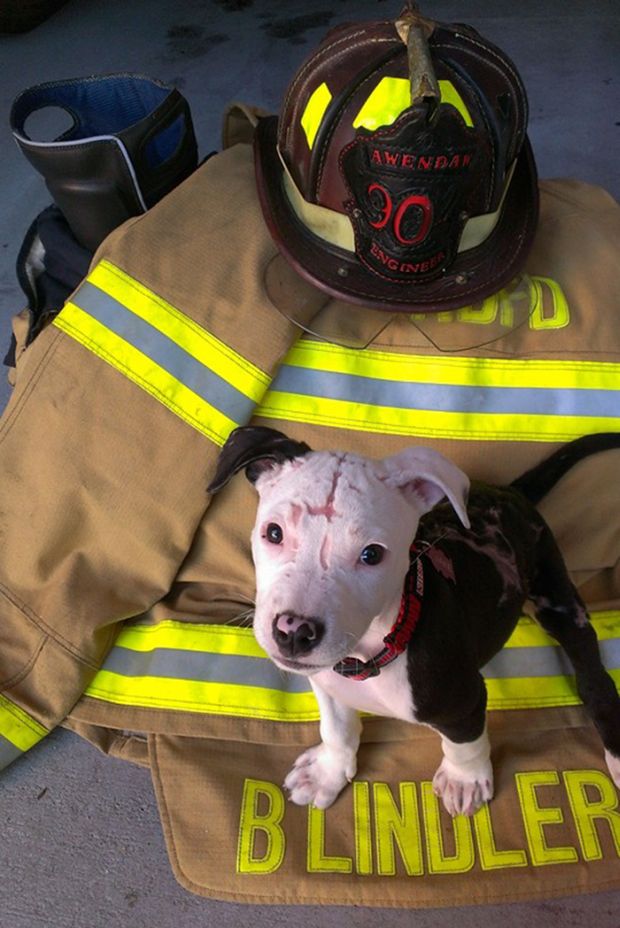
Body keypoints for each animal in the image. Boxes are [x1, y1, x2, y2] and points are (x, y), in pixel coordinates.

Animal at [209, 432, 620, 816]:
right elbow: (337, 729)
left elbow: (464, 743)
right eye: (274, 533)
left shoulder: (464, 700)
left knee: (593, 678)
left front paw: (465, 779)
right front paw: (328, 771)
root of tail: (511, 492)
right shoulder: (326, 683)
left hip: (557, 595)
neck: (373, 651)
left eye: (371, 555)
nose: (294, 630)